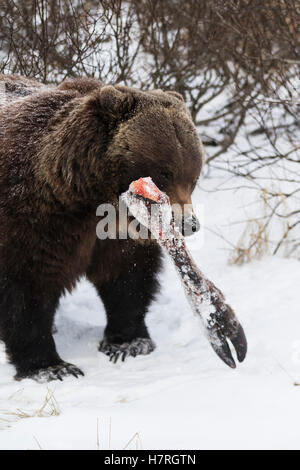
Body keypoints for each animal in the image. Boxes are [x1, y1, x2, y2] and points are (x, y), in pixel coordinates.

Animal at [0, 74, 204, 382]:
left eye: (193, 178)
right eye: (165, 172)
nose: (188, 224)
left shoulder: (116, 233)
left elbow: (127, 277)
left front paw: (128, 342)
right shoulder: (33, 221)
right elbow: (27, 289)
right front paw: (52, 366)